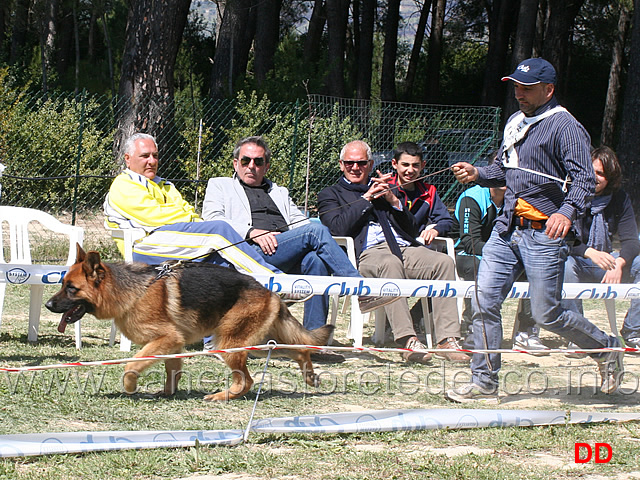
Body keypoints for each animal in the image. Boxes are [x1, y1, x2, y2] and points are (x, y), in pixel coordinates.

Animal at [45, 248, 336, 402]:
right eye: (62, 284)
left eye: (71, 289)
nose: (48, 305)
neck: (132, 291)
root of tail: (270, 292)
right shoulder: (173, 345)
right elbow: (172, 371)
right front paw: (167, 393)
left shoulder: (166, 339)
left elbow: (131, 366)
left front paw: (130, 387)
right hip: (260, 342)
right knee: (301, 349)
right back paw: (309, 376)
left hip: (229, 343)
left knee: (247, 381)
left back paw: (221, 396)